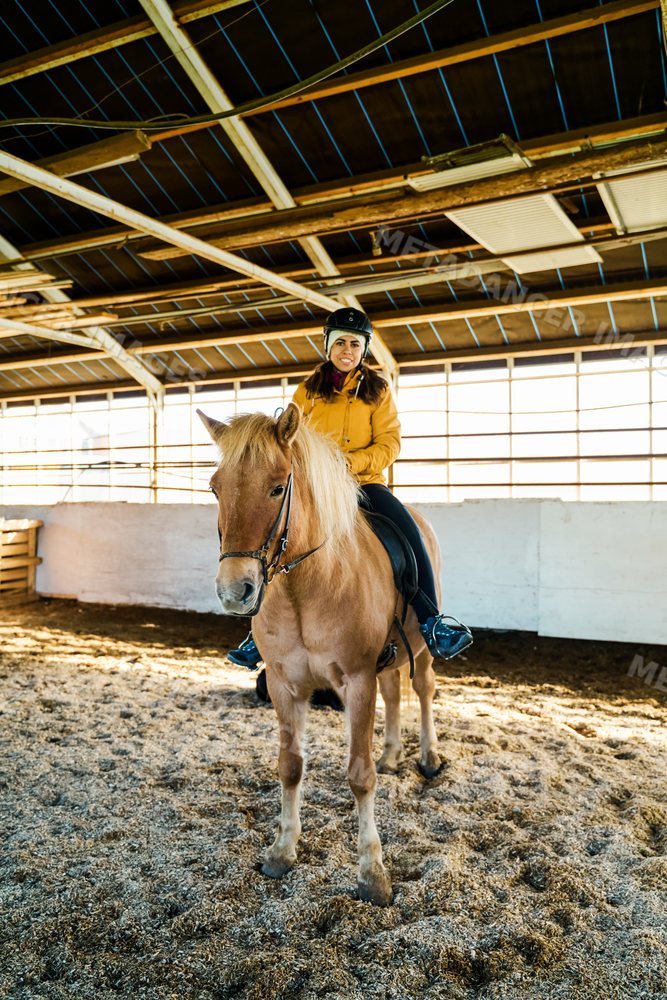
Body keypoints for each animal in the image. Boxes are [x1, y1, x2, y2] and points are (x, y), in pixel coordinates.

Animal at [198, 403, 443, 907]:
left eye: (277, 487)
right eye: (215, 487)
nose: (235, 591)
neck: (304, 589)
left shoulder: (357, 680)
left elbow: (359, 775)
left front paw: (372, 874)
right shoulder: (283, 684)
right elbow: (290, 766)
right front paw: (281, 851)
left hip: (422, 649)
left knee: (423, 689)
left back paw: (428, 758)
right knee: (395, 693)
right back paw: (392, 755)